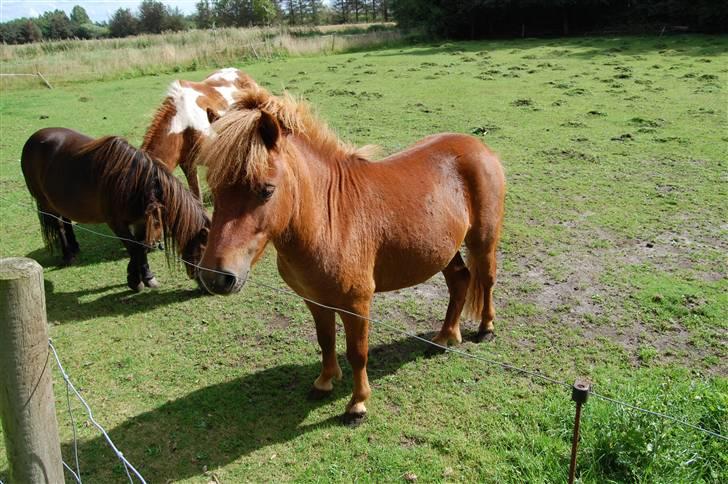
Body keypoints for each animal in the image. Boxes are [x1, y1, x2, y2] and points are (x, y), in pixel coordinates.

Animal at [19, 126, 212, 292]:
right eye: (204, 251)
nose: (211, 287)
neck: (134, 184)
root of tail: (33, 139)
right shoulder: (117, 223)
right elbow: (134, 248)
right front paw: (135, 280)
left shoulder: (142, 221)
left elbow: (140, 247)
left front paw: (145, 276)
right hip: (46, 203)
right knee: (59, 225)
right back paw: (68, 255)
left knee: (66, 220)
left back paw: (74, 247)